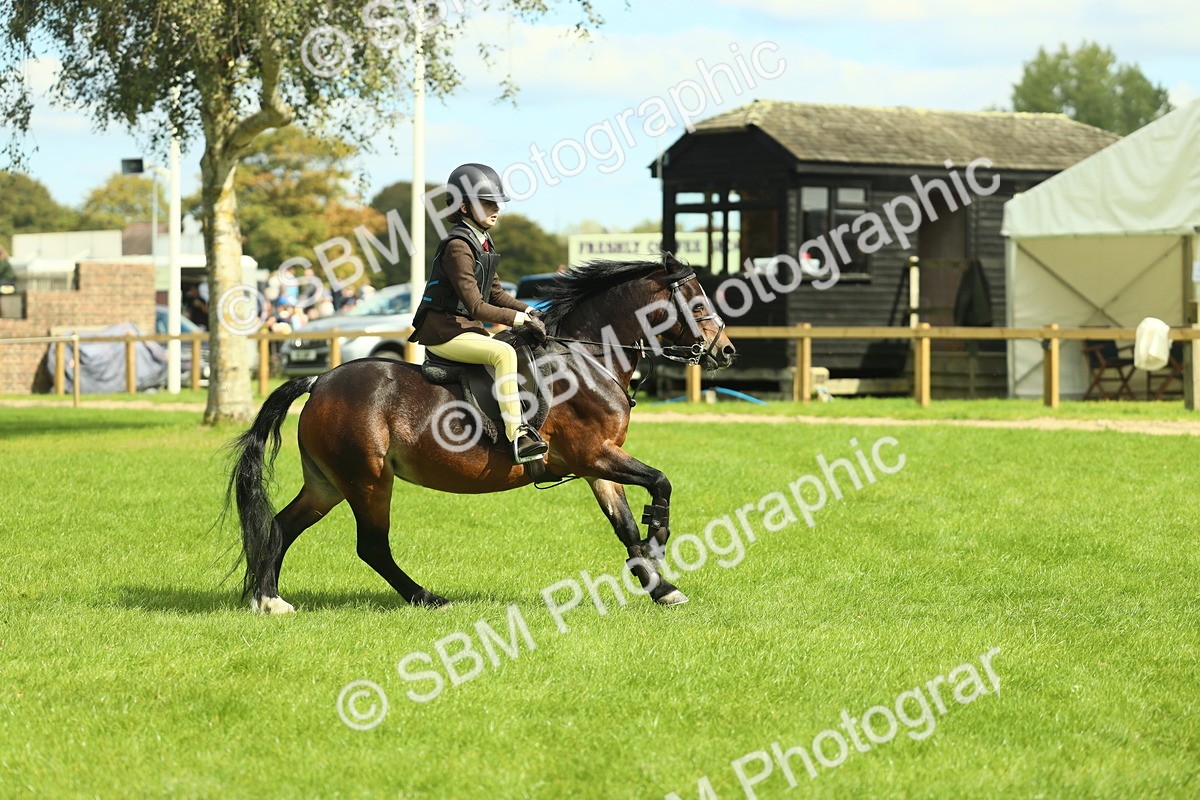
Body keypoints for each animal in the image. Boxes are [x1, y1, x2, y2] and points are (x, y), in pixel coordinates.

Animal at [224, 253, 737, 613]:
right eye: (696, 301)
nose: (726, 351)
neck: (587, 358)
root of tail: (319, 381)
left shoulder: (598, 465)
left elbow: (625, 526)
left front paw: (662, 587)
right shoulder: (595, 454)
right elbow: (660, 482)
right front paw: (660, 535)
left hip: (328, 483)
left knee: (281, 525)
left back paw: (270, 600)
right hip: (368, 481)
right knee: (371, 546)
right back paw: (427, 598)